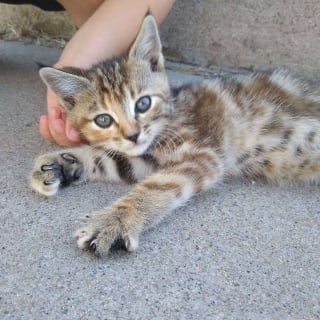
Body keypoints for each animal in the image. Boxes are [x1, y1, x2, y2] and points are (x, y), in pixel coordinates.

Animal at [31, 15, 320, 256]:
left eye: (143, 104)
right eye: (103, 120)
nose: (133, 135)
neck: (171, 113)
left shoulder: (202, 154)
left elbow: (156, 187)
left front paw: (116, 221)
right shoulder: (146, 158)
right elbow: (110, 160)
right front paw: (60, 163)